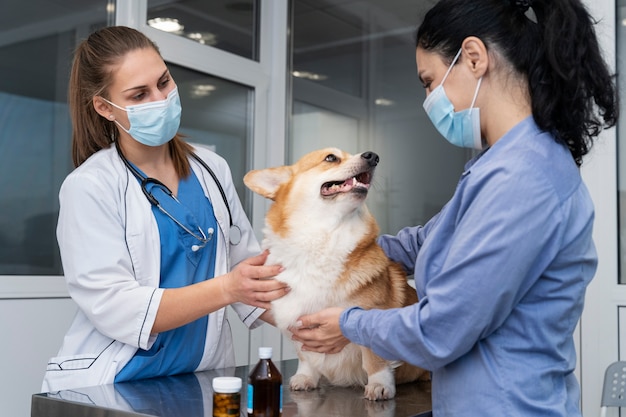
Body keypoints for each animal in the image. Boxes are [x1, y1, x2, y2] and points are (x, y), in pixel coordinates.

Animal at [241, 149, 426, 400]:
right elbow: (306, 357)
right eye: (331, 158)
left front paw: (379, 385)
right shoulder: (296, 323)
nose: (373, 156)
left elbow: (374, 359)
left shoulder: (372, 315)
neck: (324, 237)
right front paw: (305, 378)